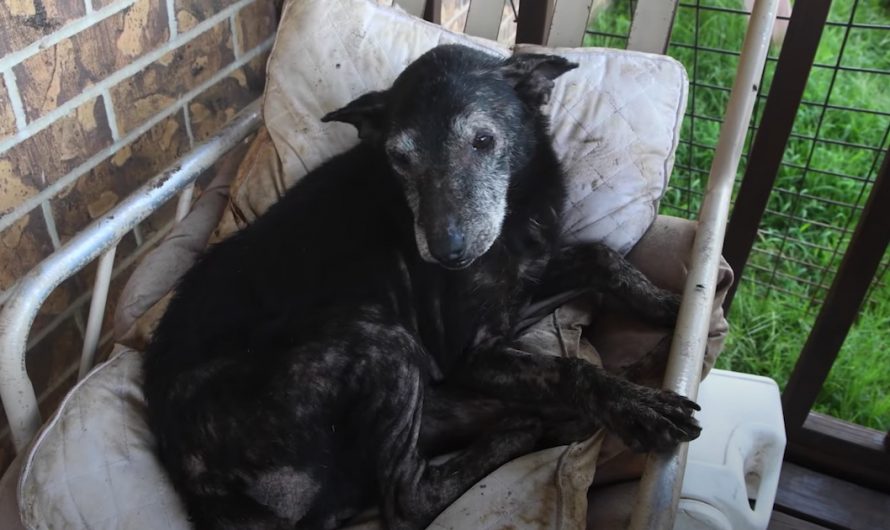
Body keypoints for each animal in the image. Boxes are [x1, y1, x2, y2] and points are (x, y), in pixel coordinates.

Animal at [144, 44, 700, 528]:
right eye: (401, 158)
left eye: (483, 141)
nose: (447, 252)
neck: (516, 210)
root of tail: (201, 492)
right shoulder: (469, 352)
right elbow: (570, 369)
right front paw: (637, 406)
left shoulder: (519, 291)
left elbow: (600, 255)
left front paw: (669, 305)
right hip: (382, 342)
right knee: (407, 500)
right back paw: (517, 437)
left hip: (430, 394)